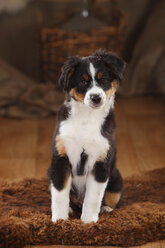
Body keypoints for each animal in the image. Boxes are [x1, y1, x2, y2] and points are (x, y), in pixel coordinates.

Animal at [48, 49, 125, 223]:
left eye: (103, 79)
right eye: (83, 82)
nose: (96, 98)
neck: (86, 118)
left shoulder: (101, 161)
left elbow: (93, 197)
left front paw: (88, 221)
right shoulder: (60, 158)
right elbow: (60, 194)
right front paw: (59, 221)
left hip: (116, 179)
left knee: (111, 198)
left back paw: (106, 209)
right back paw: (71, 210)